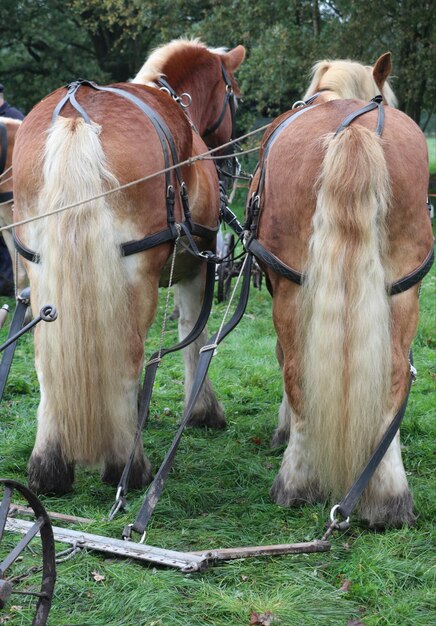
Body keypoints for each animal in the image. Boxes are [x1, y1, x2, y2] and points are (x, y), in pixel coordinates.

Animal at [11, 40, 245, 498]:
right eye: (235, 96)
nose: (228, 161)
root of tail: (76, 119)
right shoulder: (198, 265)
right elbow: (194, 331)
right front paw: (203, 410)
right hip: (134, 278)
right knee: (127, 356)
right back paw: (128, 464)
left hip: (42, 271)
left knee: (46, 359)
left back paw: (49, 467)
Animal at [247, 53, 434, 524]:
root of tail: (354, 130)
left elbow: (284, 360)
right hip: (401, 289)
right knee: (394, 375)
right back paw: (388, 496)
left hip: (293, 287)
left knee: (296, 369)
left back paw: (297, 480)